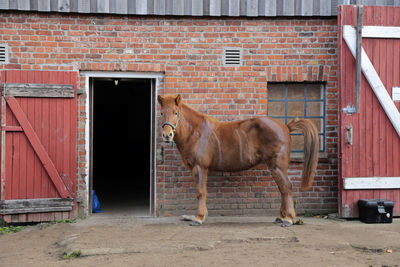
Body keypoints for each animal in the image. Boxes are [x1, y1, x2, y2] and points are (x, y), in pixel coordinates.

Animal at [158, 95, 318, 227]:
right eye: (161, 113)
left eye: (176, 113)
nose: (167, 135)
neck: (196, 132)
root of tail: (285, 127)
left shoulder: (199, 167)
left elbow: (200, 192)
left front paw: (198, 218)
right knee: (282, 189)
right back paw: (281, 217)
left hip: (277, 166)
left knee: (286, 187)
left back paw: (288, 219)